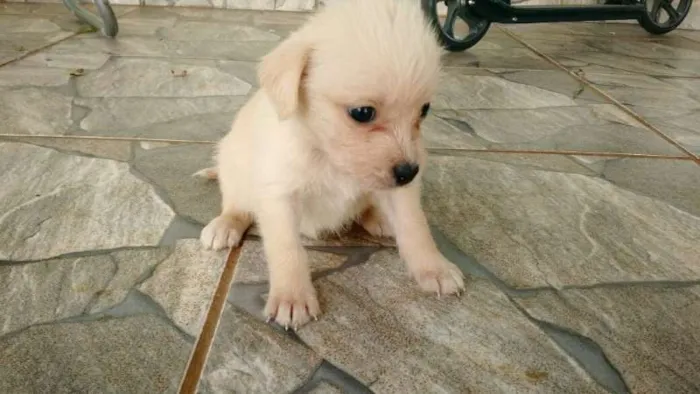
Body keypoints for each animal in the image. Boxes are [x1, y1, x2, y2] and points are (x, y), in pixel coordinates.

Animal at [200, 0, 464, 330]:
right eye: (362, 112)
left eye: (424, 110)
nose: (410, 173)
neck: (328, 155)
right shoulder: (279, 196)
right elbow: (287, 249)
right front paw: (292, 296)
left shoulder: (402, 192)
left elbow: (415, 226)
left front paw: (435, 268)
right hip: (232, 164)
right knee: (237, 205)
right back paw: (225, 224)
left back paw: (377, 216)